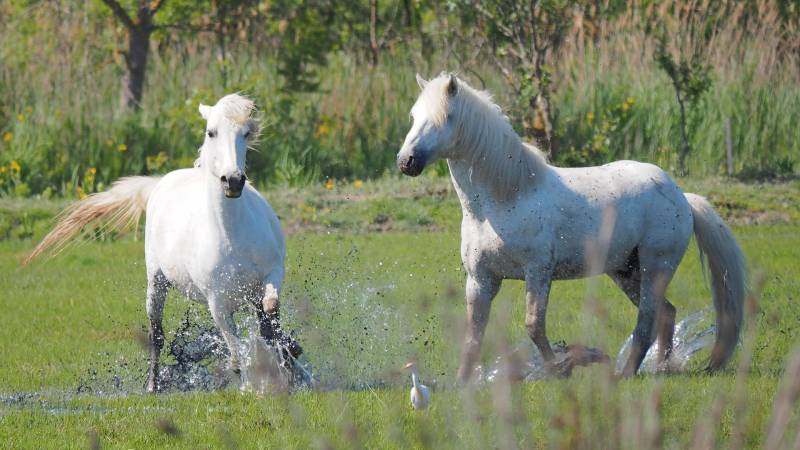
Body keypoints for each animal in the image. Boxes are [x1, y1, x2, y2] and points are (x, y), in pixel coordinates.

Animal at [24, 94, 302, 392]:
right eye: (211, 132)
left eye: (246, 133)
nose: (233, 181)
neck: (233, 236)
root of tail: (163, 181)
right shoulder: (216, 302)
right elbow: (237, 350)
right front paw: (251, 386)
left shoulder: (272, 273)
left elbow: (270, 314)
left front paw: (291, 360)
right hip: (156, 281)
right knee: (156, 335)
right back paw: (152, 386)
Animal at [396, 73, 747, 381]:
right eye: (413, 116)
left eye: (447, 116)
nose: (406, 161)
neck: (504, 199)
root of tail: (682, 197)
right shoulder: (481, 279)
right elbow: (474, 334)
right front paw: (462, 383)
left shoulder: (538, 272)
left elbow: (534, 326)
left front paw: (563, 368)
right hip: (625, 272)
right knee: (666, 314)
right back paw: (660, 369)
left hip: (655, 267)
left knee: (648, 320)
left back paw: (626, 374)